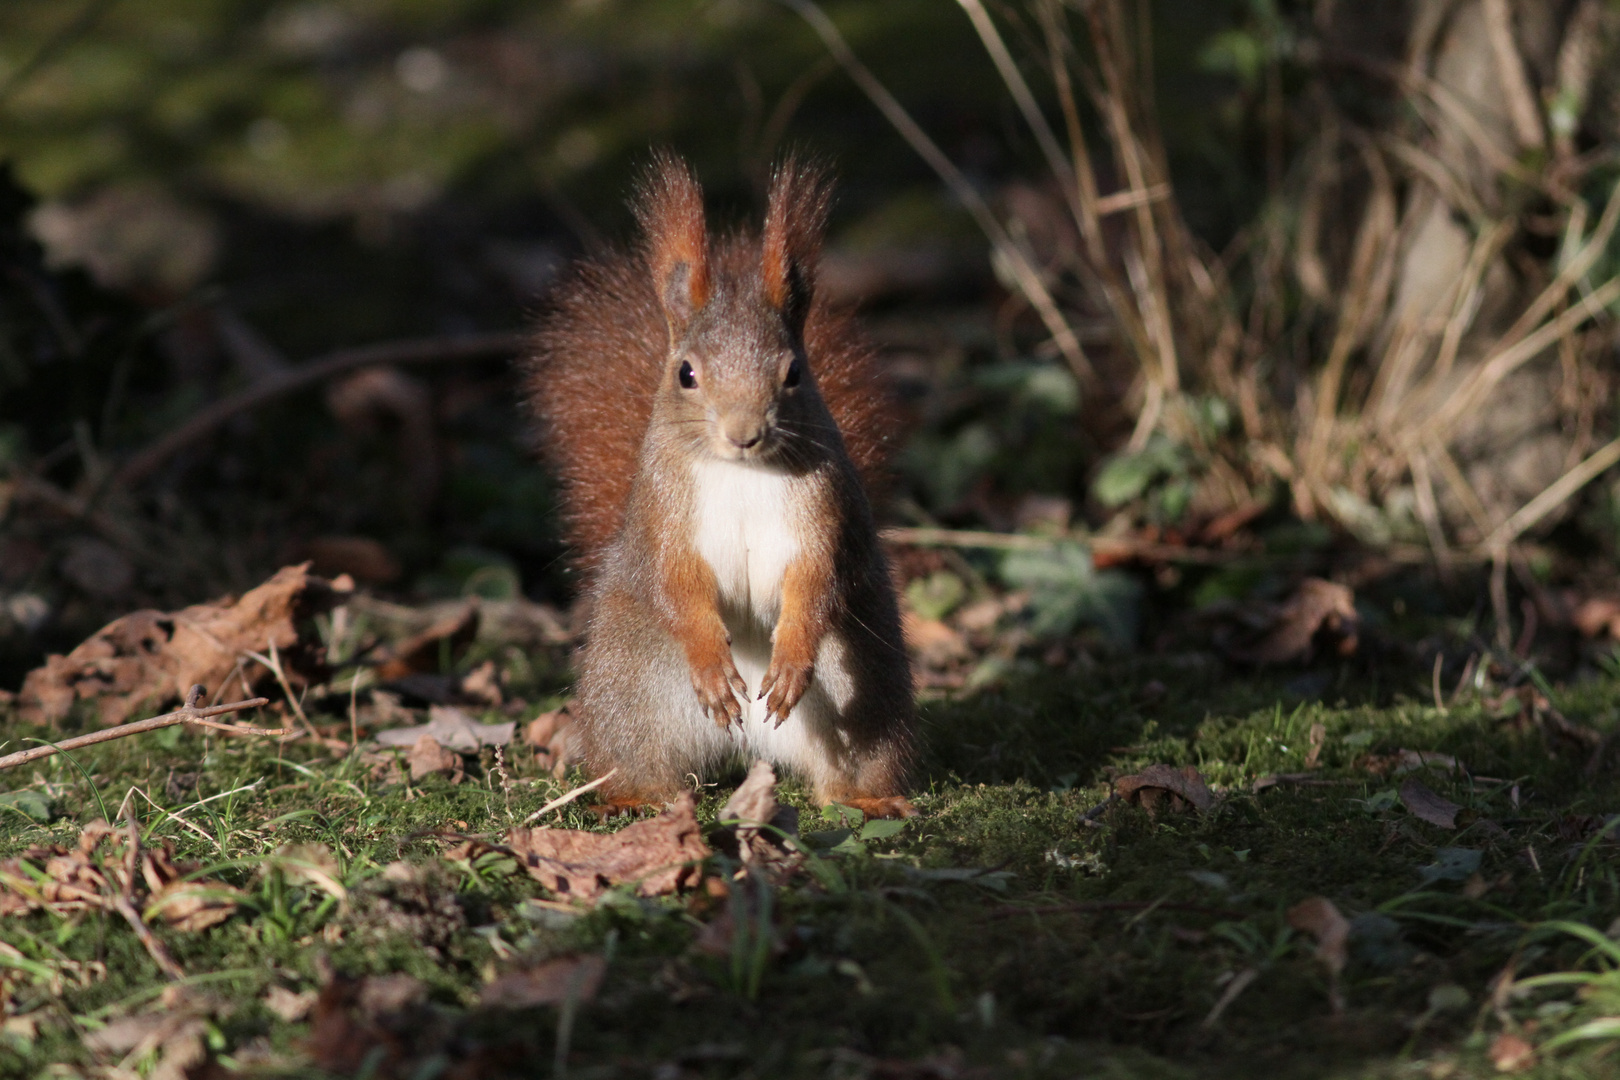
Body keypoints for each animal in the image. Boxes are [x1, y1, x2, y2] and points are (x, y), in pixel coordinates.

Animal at [524, 153, 920, 819]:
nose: (744, 433)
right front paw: (711, 663)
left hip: (864, 691)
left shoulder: (825, 509)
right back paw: (632, 798)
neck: (743, 473)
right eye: (685, 373)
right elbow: (676, 582)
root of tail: (752, 745)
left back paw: (869, 799)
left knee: (851, 760)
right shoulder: (663, 513)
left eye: (794, 372)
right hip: (634, 694)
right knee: (641, 761)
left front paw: (791, 659)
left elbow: (817, 579)